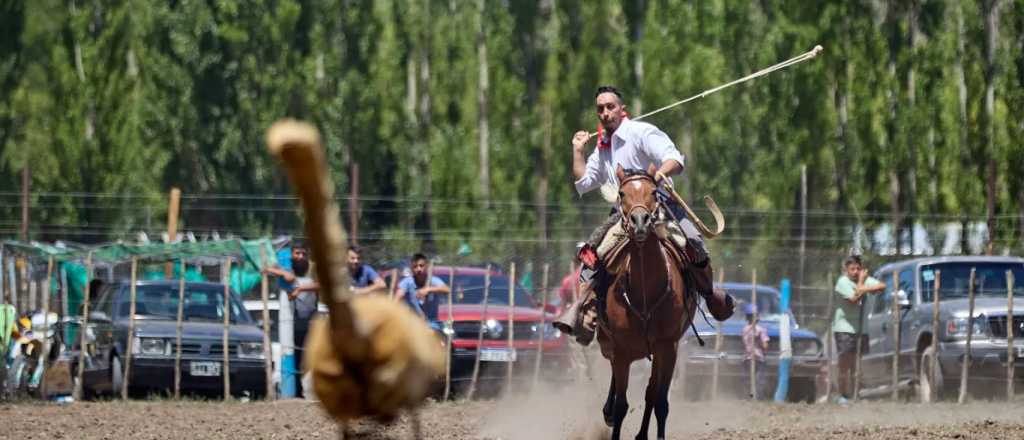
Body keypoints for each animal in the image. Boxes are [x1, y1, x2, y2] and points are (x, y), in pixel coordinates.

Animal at [598, 165, 700, 440]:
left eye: (654, 192)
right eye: (622, 193)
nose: (640, 221)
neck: (645, 291)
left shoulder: (668, 347)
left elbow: (660, 401)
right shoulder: (621, 349)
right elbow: (622, 405)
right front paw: (613, 415)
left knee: (651, 392)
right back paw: (608, 411)